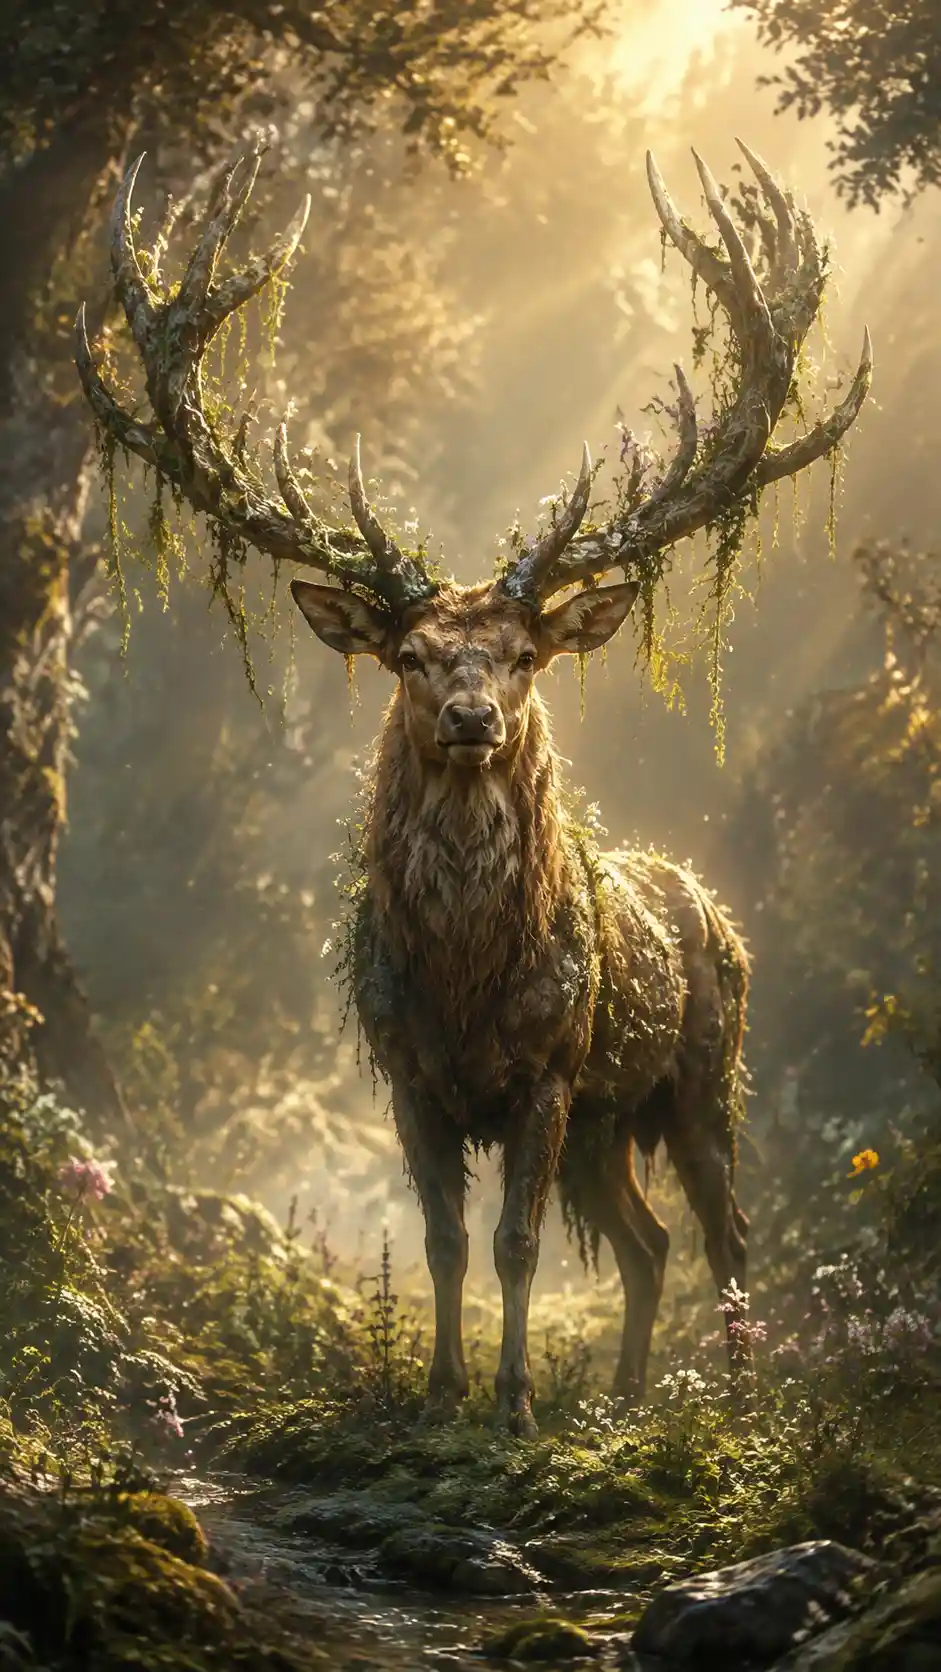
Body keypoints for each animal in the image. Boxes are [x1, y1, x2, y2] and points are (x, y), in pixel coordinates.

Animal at [77, 135, 871, 1435]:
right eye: (408, 655)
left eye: (520, 654)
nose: (467, 716)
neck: (463, 977)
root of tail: (702, 897)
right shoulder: (409, 1074)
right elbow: (445, 1242)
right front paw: (441, 1390)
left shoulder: (547, 1069)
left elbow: (513, 1245)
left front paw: (512, 1405)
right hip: (607, 1122)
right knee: (646, 1243)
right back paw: (625, 1399)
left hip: (702, 1070)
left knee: (728, 1230)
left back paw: (738, 1404)